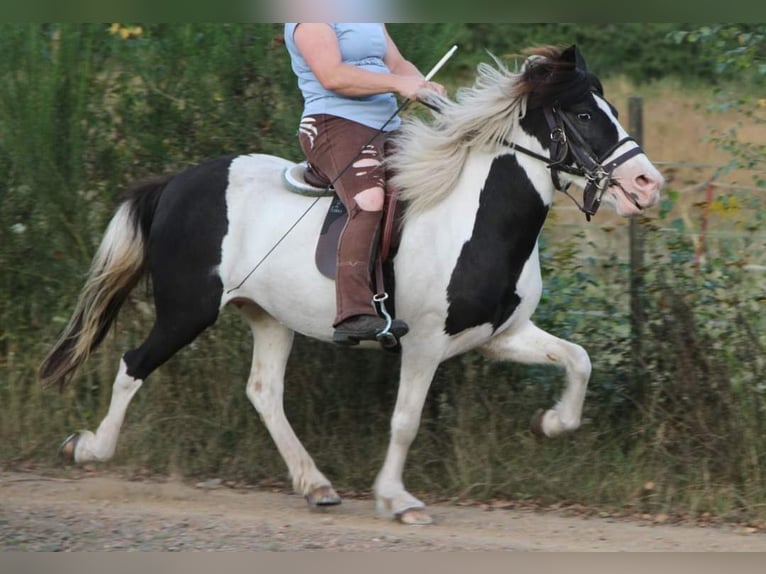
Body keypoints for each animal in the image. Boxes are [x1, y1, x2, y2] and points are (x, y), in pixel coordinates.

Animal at [36, 46, 664, 528]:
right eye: (583, 115)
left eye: (609, 110)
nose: (646, 184)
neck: (473, 217)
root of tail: (174, 185)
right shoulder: (424, 344)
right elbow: (405, 422)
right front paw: (398, 500)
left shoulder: (500, 335)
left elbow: (578, 360)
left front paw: (551, 423)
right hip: (186, 311)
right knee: (133, 365)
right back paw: (87, 448)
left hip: (268, 316)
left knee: (263, 391)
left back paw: (315, 484)